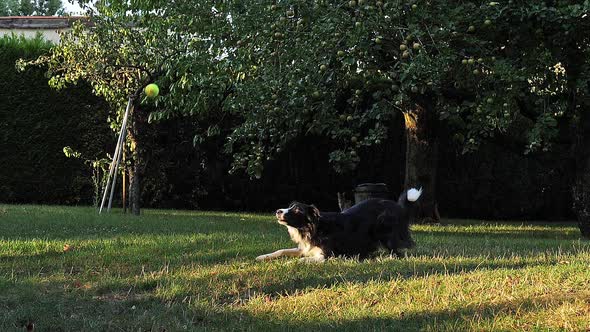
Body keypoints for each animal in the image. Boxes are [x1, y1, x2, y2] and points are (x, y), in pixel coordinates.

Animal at [256, 187, 424, 262]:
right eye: (289, 206)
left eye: (297, 210)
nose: (278, 211)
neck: (312, 228)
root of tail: (398, 206)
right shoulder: (305, 248)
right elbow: (281, 250)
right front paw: (262, 257)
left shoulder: (327, 254)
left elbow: (303, 260)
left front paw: (291, 263)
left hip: (383, 227)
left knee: (396, 250)